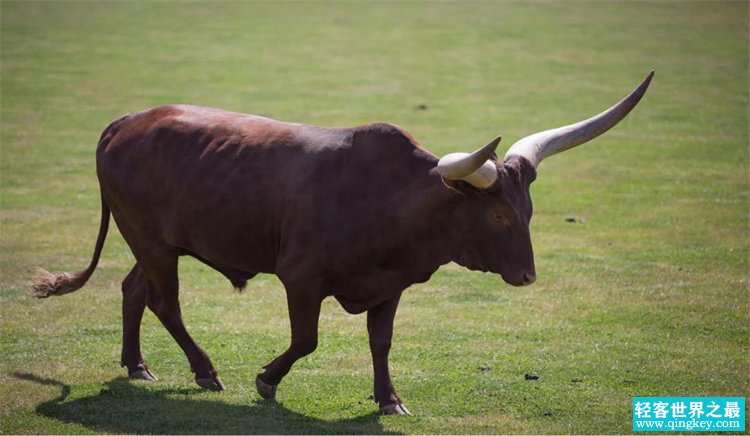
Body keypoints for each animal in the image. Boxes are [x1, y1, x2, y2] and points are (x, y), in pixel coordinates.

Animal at [32, 71, 652, 416]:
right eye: (499, 213)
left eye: (527, 211)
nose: (527, 276)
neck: (390, 201)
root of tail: (128, 121)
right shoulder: (301, 279)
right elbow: (305, 340)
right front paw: (266, 380)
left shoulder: (390, 285)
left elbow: (381, 341)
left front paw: (390, 398)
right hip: (154, 243)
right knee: (164, 300)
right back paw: (205, 370)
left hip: (154, 242)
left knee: (134, 289)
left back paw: (137, 366)